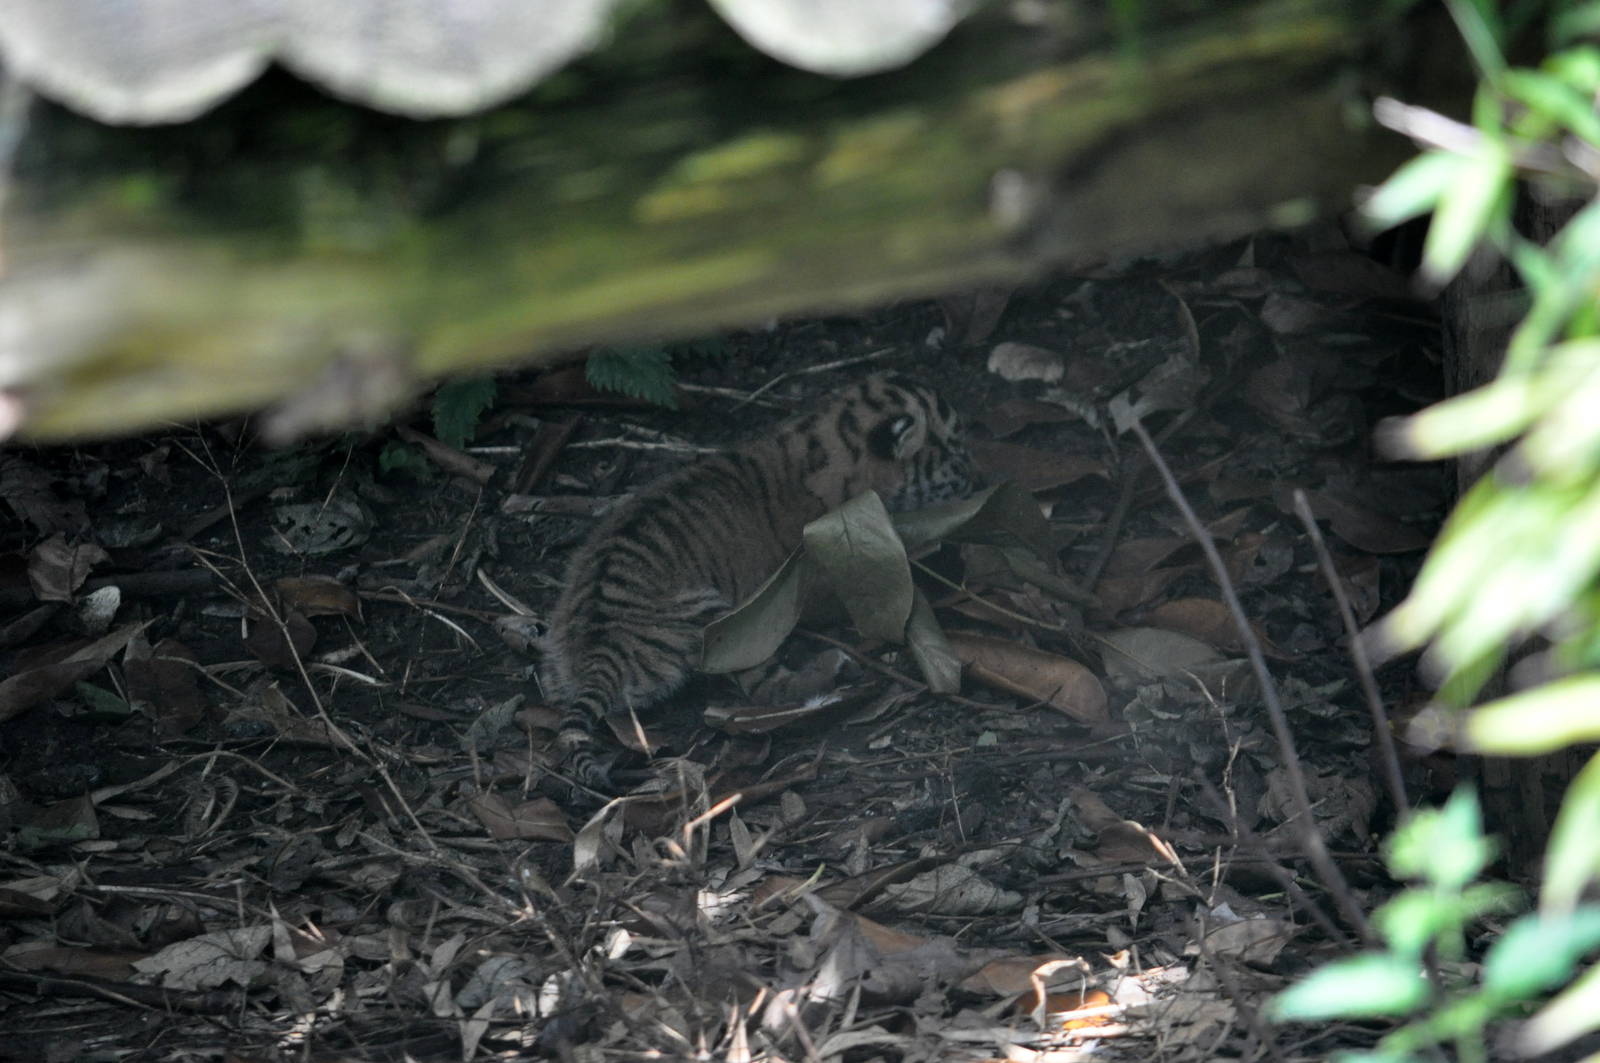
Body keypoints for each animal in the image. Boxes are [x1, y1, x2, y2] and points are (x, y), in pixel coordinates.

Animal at [540, 371, 981, 795]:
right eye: (955, 450)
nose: (975, 478)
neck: (826, 437)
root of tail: (600, 646)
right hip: (724, 626)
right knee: (769, 688)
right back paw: (833, 669)